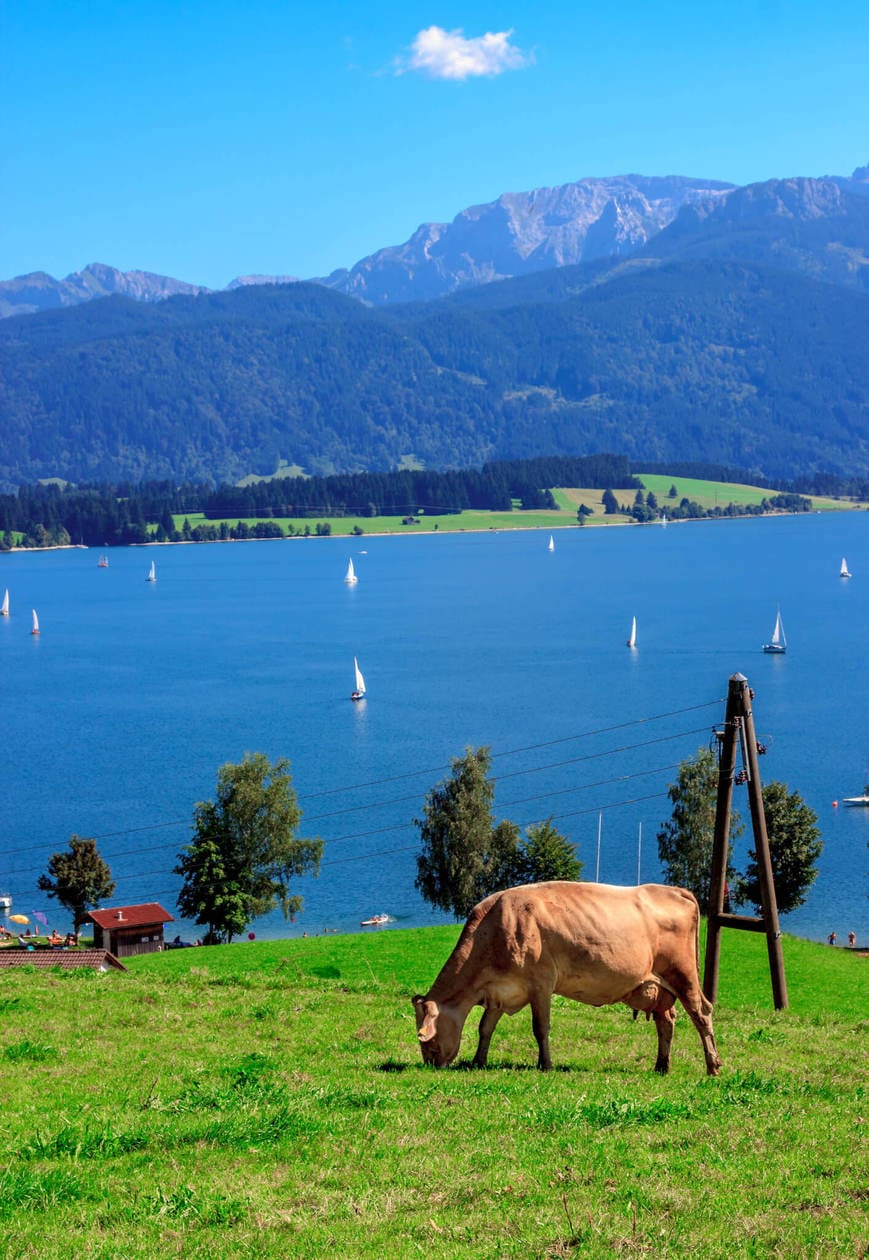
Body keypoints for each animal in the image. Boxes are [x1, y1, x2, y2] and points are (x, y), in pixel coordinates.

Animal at [410, 882, 720, 1078]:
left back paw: (713, 1066)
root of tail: (674, 890)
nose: (431, 1065)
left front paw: (545, 1064)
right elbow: (485, 1028)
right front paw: (478, 1061)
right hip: (660, 988)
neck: (493, 929)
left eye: (428, 1040)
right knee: (666, 1022)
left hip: (683, 974)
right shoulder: (499, 991)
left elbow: (540, 1028)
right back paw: (661, 1066)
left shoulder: (541, 984)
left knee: (701, 1013)